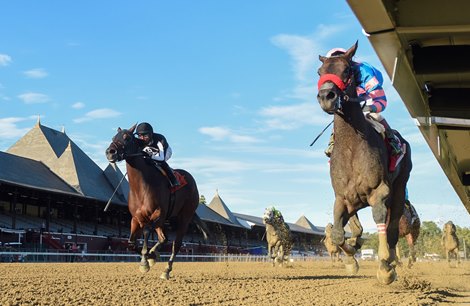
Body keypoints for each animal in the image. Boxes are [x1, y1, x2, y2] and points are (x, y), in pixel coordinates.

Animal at [107, 124, 210, 280]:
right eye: (113, 137)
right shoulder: (136, 218)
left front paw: (145, 261)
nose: (110, 152)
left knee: (176, 244)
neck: (141, 187)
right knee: (163, 239)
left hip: (184, 217)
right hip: (167, 220)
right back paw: (155, 254)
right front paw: (150, 257)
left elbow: (146, 231)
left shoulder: (158, 214)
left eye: (127, 138)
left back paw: (166, 270)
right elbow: (131, 242)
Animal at [316, 41, 412, 284]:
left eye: (347, 70)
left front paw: (385, 266)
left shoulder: (379, 191)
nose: (327, 95)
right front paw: (351, 259)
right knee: (357, 227)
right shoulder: (343, 197)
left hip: (399, 188)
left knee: (393, 227)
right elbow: (338, 233)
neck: (352, 147)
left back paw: (392, 262)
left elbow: (379, 220)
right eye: (320, 72)